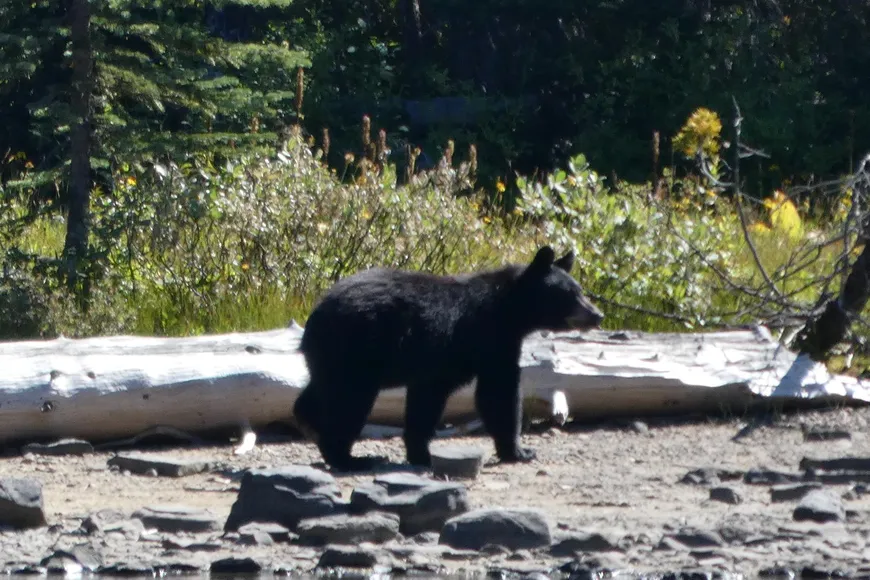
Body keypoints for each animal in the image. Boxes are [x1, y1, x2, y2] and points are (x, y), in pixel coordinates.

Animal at [292, 245, 604, 472]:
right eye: (570, 294)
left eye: (580, 291)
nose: (597, 315)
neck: (507, 312)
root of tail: (315, 316)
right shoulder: (481, 343)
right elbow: (496, 393)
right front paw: (520, 450)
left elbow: (435, 399)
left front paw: (419, 452)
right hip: (355, 352)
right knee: (349, 402)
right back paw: (349, 458)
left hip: (332, 357)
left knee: (319, 392)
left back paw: (310, 425)